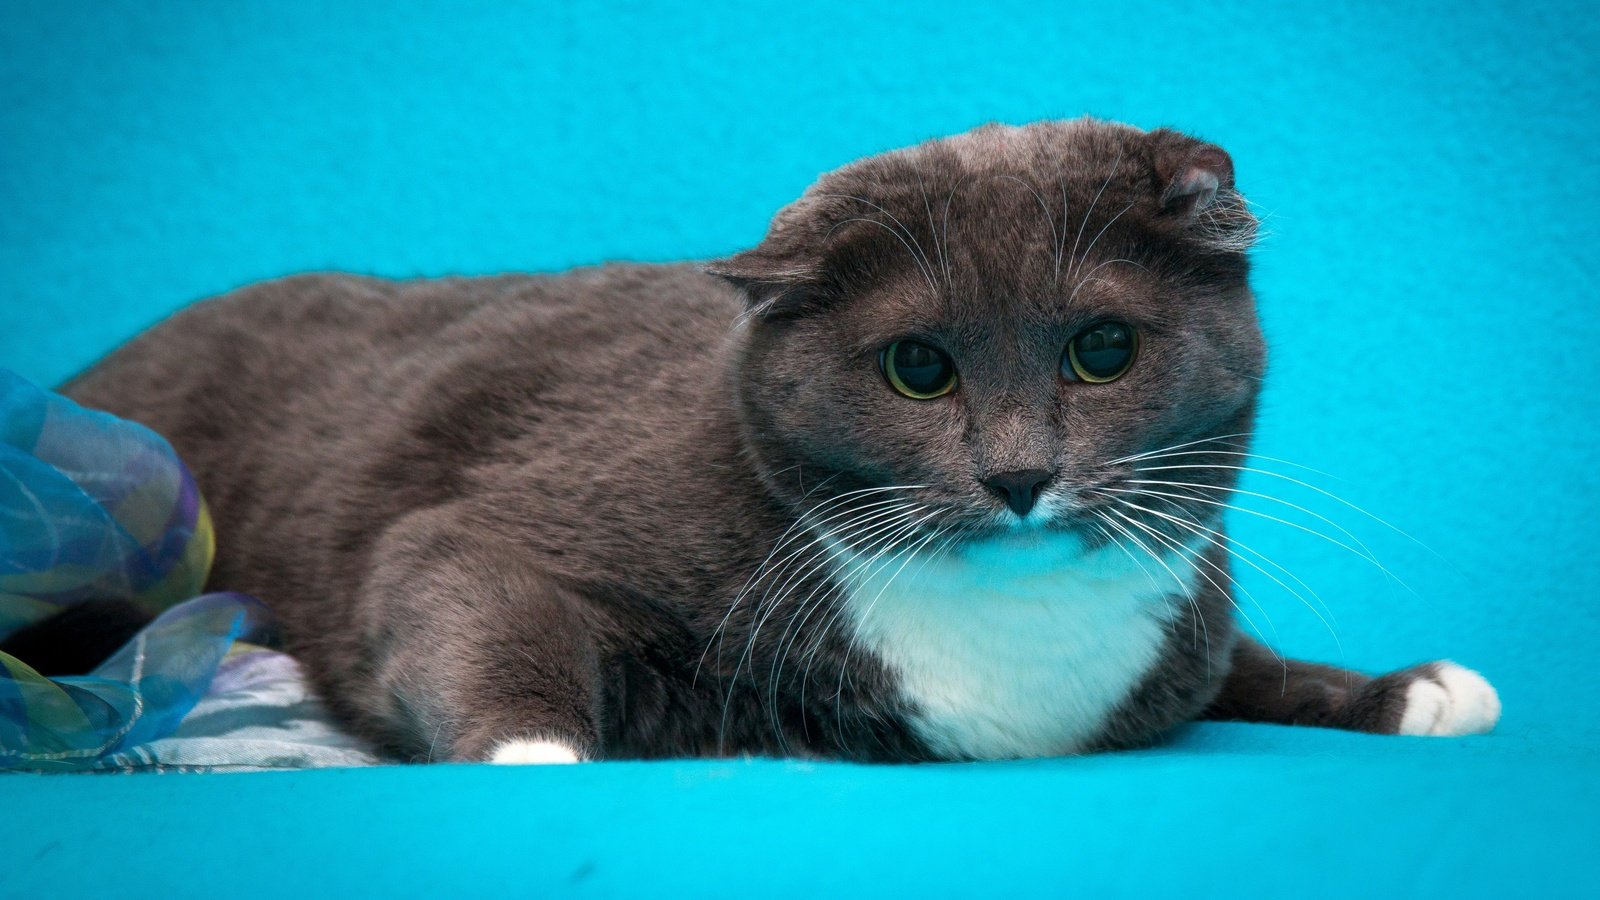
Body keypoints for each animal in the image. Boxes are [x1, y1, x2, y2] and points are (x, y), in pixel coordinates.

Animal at [53, 119, 1497, 759]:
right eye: (918, 368)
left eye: (1101, 350)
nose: (1019, 472)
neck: (1018, 639)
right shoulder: (504, 514)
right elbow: (463, 586)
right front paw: (535, 756)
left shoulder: (1183, 624)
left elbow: (1250, 669)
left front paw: (1406, 687)